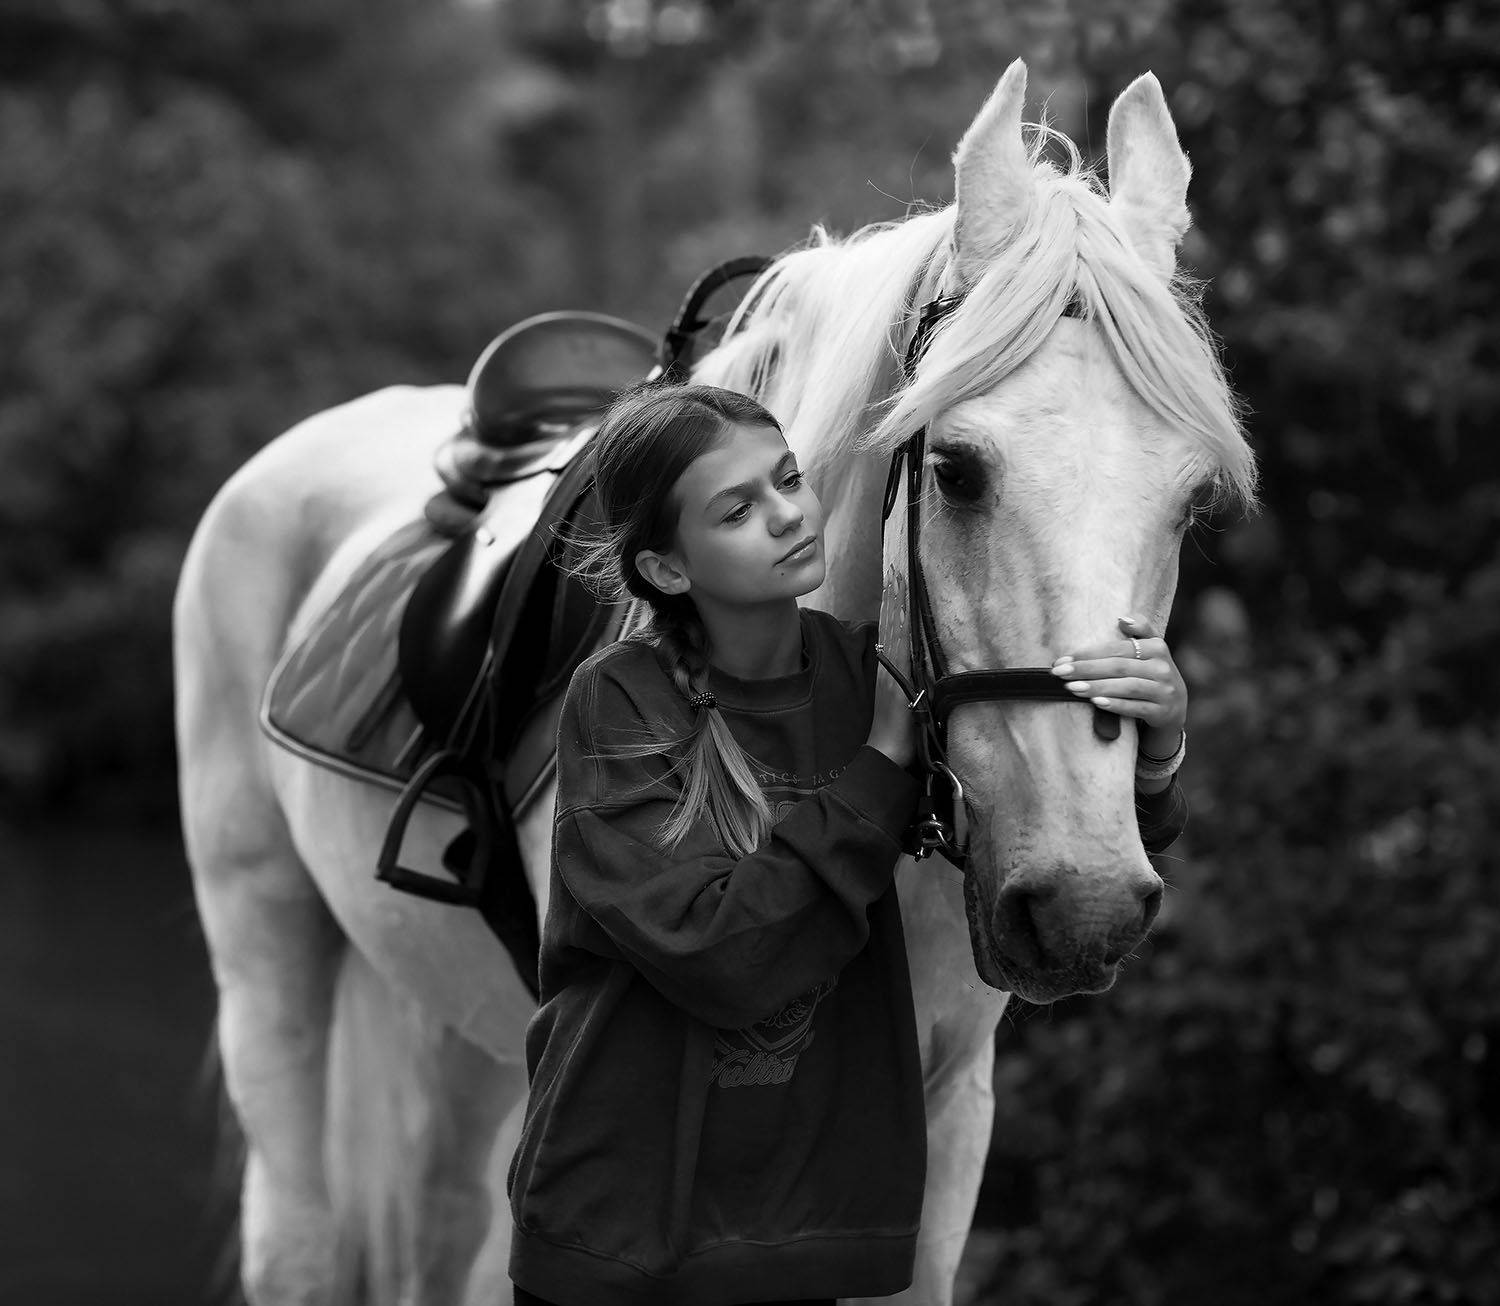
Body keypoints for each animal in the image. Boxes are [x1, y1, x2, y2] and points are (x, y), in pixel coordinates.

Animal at [173, 59, 1255, 1306]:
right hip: (265, 949)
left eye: (1192, 500)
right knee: (295, 1237)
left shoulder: (951, 1116)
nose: (1084, 902)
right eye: (956, 468)